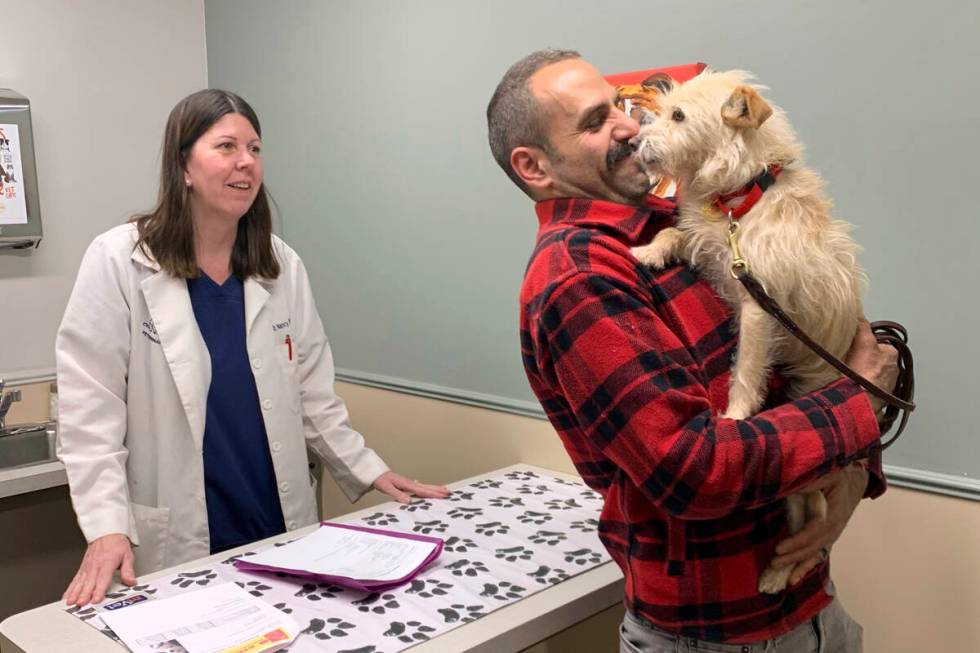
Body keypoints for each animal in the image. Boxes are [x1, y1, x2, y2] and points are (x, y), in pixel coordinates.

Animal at [628, 70, 864, 592]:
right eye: (662, 108)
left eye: (678, 115)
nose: (632, 142)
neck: (738, 200)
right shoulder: (712, 247)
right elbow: (676, 232)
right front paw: (649, 251)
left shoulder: (759, 308)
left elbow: (747, 371)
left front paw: (735, 418)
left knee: (813, 530)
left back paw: (780, 574)